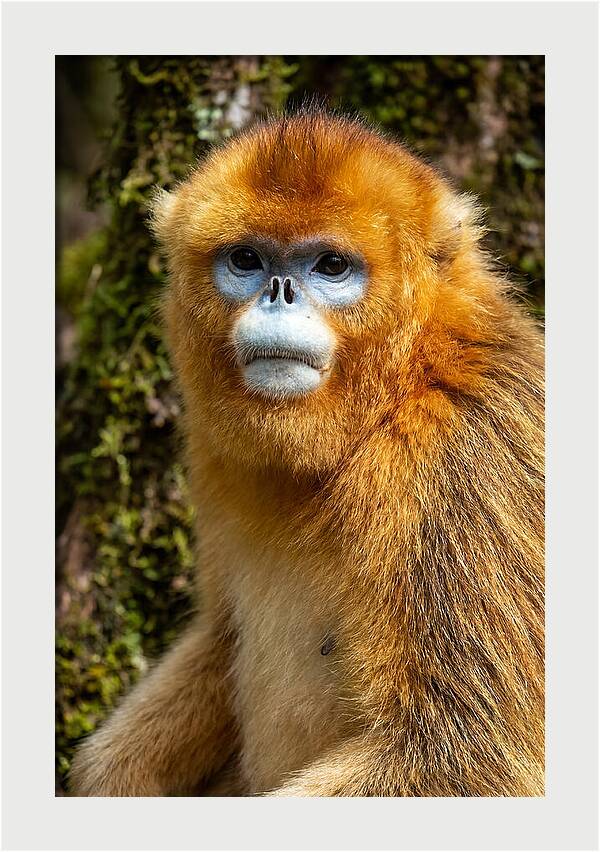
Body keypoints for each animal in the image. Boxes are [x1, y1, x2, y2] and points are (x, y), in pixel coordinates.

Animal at [69, 110, 544, 797]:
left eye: (330, 266)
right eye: (246, 259)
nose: (279, 291)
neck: (397, 394)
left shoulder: (463, 458)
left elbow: (465, 759)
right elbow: (220, 638)